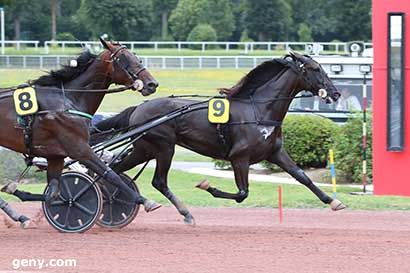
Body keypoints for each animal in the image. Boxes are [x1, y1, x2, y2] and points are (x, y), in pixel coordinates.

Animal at [0, 37, 160, 223]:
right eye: (124, 59)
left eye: (137, 58)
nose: (152, 84)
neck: (69, 100)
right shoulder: (80, 149)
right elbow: (110, 174)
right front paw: (146, 201)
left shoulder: (56, 155)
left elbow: (52, 194)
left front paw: (16, 191)